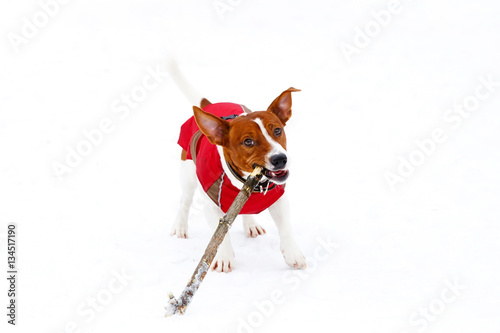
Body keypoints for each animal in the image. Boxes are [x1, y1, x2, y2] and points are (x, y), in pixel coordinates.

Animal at [170, 59, 306, 272]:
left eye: (277, 130)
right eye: (248, 142)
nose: (280, 159)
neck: (251, 184)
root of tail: (211, 105)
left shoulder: (279, 200)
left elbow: (285, 228)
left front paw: (293, 254)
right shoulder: (211, 207)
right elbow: (221, 236)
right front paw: (224, 258)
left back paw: (251, 224)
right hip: (188, 173)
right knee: (184, 202)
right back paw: (180, 227)